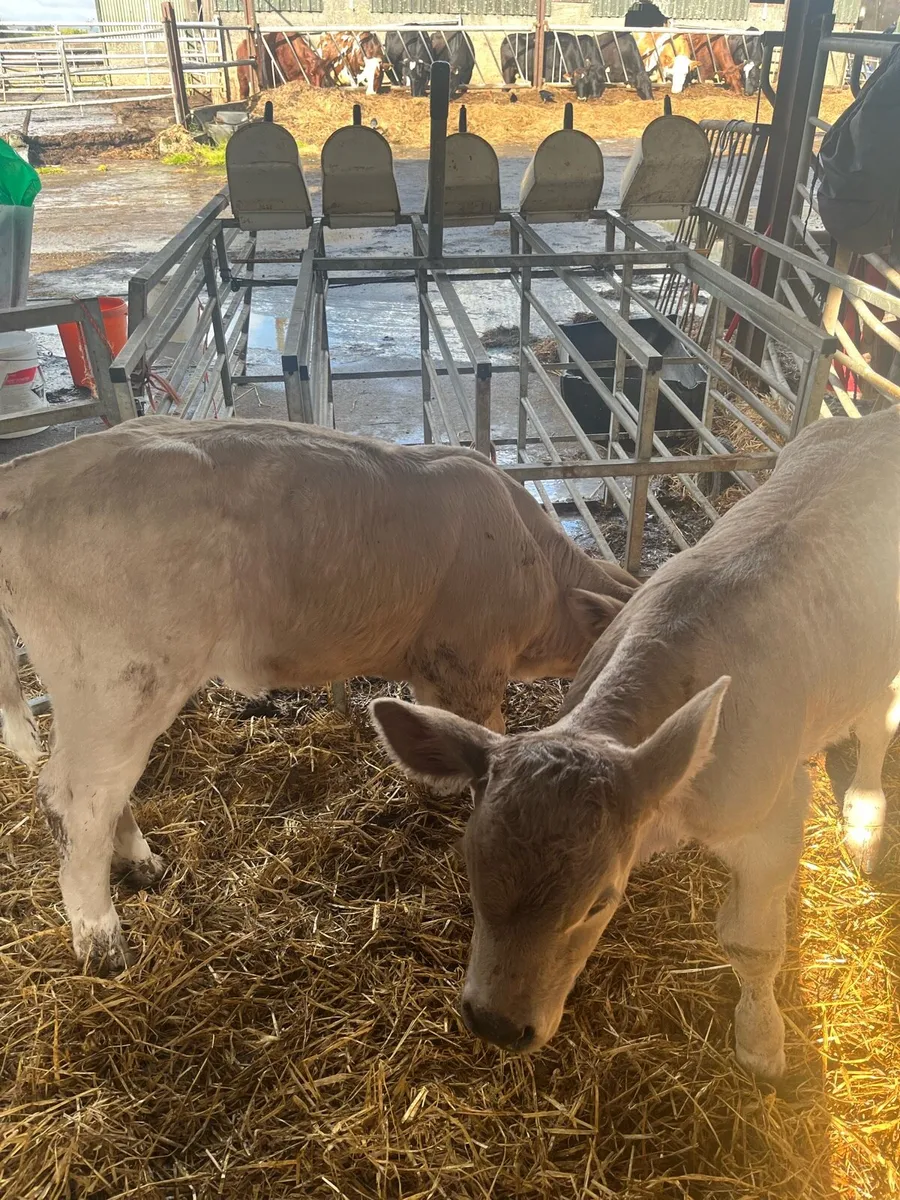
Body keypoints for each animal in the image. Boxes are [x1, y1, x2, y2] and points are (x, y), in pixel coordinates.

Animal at [0, 418, 637, 975]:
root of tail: (27, 474)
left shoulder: (432, 665)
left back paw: (142, 866)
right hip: (120, 681)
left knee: (102, 793)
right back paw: (102, 942)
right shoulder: (472, 663)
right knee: (75, 797)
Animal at [374, 408, 900, 1080]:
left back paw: (864, 818)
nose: (495, 1023)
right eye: (470, 864)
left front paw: (761, 1044)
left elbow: (752, 946)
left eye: (600, 901)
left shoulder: (774, 808)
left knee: (880, 720)